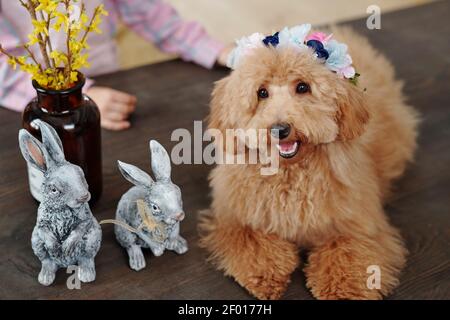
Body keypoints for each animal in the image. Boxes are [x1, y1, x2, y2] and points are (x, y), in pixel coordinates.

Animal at [200, 26, 418, 300]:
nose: (280, 129)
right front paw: (266, 276)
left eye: (302, 87)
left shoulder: (357, 225)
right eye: (262, 92)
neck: (290, 172)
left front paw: (343, 290)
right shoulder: (237, 220)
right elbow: (252, 241)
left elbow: (348, 253)